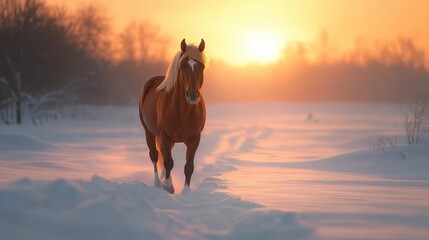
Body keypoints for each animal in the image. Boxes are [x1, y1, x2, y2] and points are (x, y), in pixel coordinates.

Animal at [139, 39, 209, 193]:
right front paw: (168, 186)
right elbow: (168, 162)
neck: (183, 112)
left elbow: (189, 166)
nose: (192, 95)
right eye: (182, 66)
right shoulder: (164, 136)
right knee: (154, 155)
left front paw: (186, 191)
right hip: (149, 132)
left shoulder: (195, 138)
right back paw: (157, 183)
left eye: (202, 66)